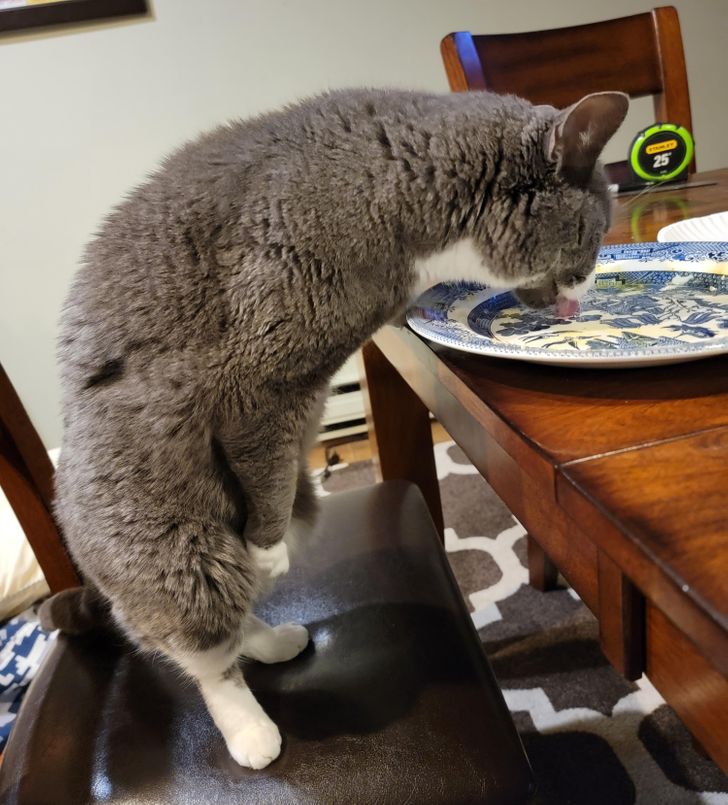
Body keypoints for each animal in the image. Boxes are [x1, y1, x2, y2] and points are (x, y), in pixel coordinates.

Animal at [45, 86, 624, 768]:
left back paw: (272, 642)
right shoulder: (258, 375)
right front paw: (265, 550)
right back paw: (251, 728)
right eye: (595, 233)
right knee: (204, 644)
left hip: (305, 504)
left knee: (236, 620)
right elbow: (260, 458)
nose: (585, 293)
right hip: (176, 551)